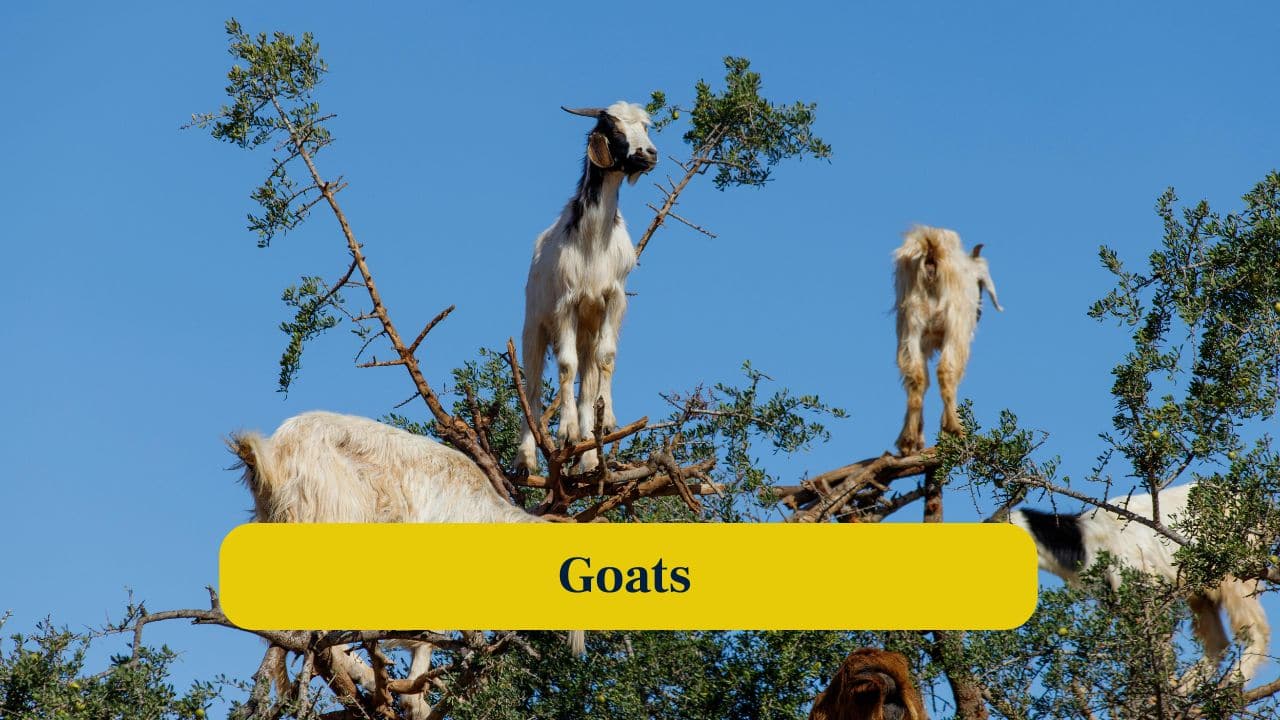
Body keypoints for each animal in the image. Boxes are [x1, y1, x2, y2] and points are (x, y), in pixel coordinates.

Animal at [516, 102, 657, 472]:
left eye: (646, 128)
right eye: (616, 129)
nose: (650, 155)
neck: (593, 240)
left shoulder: (614, 298)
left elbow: (606, 358)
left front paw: (605, 424)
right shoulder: (565, 303)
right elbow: (566, 366)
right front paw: (566, 430)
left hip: (588, 328)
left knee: (588, 377)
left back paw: (589, 456)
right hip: (534, 326)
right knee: (532, 388)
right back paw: (527, 459)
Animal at [893, 225, 1001, 456]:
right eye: (980, 284)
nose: (978, 313)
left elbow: (920, 378)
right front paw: (946, 431)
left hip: (911, 323)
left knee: (915, 376)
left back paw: (907, 440)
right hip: (955, 326)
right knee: (947, 371)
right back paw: (956, 428)